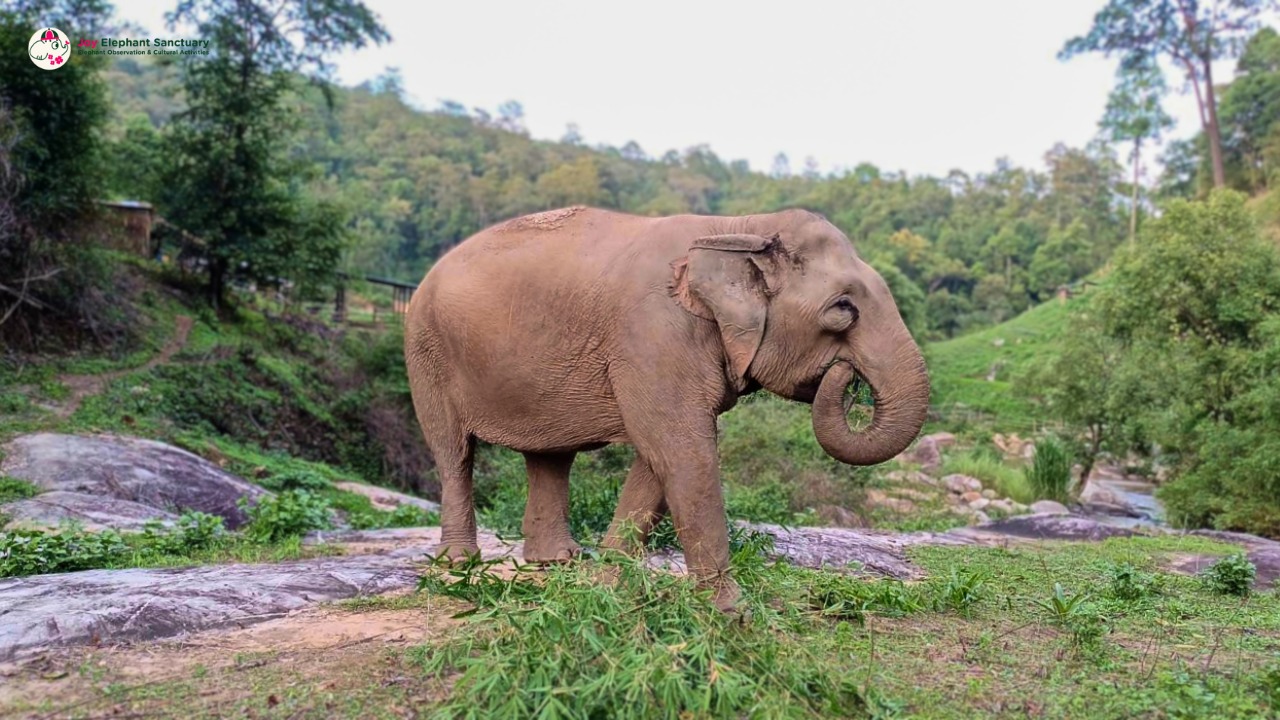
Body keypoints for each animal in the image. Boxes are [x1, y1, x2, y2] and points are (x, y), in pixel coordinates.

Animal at [409, 204, 931, 607]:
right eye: (843, 309)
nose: (845, 375)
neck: (741, 226)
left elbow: (658, 458)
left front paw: (606, 583)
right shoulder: (654, 334)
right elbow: (682, 449)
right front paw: (730, 613)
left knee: (551, 456)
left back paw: (558, 562)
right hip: (426, 352)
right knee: (454, 452)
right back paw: (459, 564)